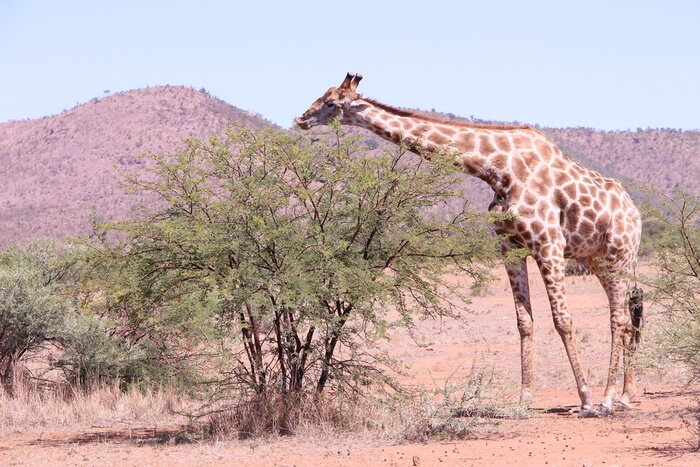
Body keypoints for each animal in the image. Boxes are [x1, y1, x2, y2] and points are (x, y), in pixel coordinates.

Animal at [295, 73, 642, 417]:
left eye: (330, 102)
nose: (301, 118)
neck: (498, 170)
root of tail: (634, 212)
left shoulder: (548, 243)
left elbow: (563, 320)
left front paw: (585, 400)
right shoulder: (510, 247)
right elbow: (524, 322)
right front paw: (524, 399)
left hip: (619, 255)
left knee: (619, 319)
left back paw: (608, 399)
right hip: (598, 261)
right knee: (626, 317)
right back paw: (625, 396)